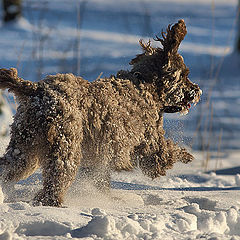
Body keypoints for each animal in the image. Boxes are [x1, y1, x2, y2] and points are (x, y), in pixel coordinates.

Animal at [0, 19, 201, 206]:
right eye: (184, 75)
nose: (197, 90)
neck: (144, 85)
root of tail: (35, 90)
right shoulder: (151, 144)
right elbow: (167, 152)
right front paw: (187, 156)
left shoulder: (98, 157)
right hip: (65, 146)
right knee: (55, 181)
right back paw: (53, 203)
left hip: (25, 147)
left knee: (9, 167)